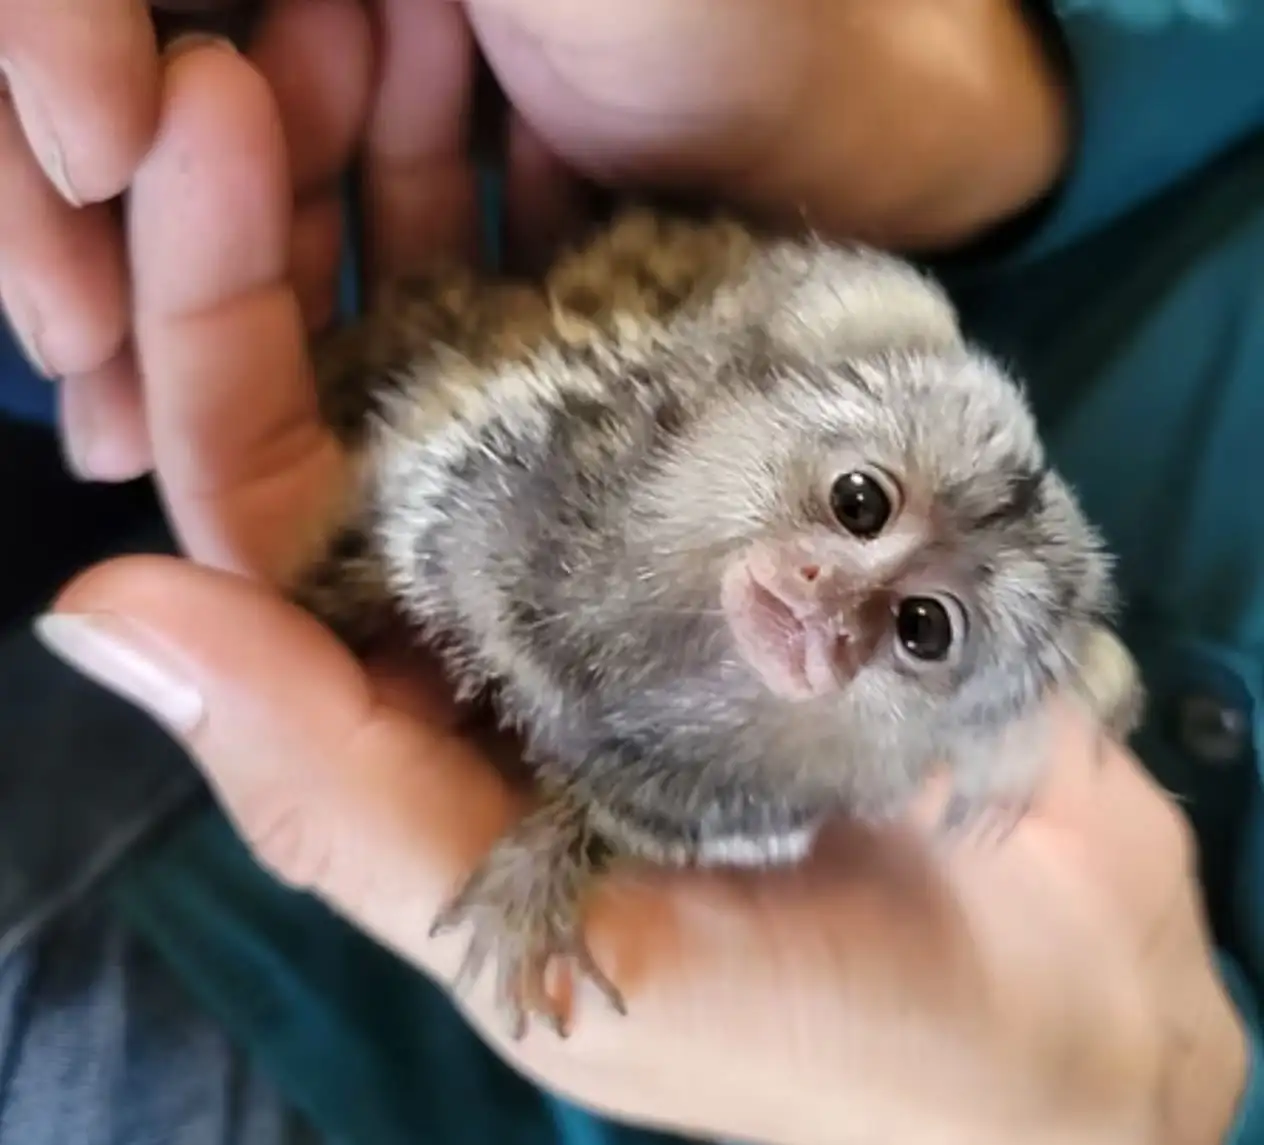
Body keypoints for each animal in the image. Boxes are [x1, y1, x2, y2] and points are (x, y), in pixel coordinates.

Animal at [290, 207, 1145, 1040]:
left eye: (923, 627)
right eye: (860, 501)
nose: (827, 606)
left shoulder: (715, 803)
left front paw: (546, 864)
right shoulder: (512, 467)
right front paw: (336, 598)